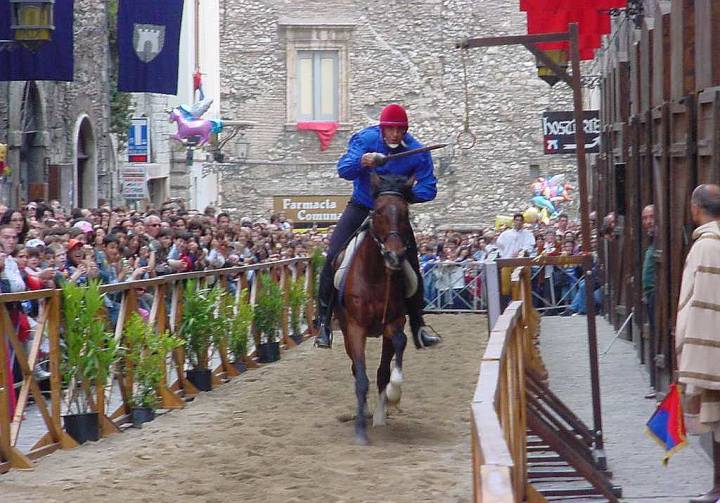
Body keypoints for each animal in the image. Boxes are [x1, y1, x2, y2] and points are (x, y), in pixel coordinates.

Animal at [334, 172, 416, 444]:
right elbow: (361, 378)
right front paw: (360, 430)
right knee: (356, 369)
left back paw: (379, 414)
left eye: (405, 212)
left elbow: (395, 352)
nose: (394, 256)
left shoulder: (394, 321)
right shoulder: (355, 327)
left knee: (381, 370)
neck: (375, 276)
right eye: (378, 211)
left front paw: (393, 393)